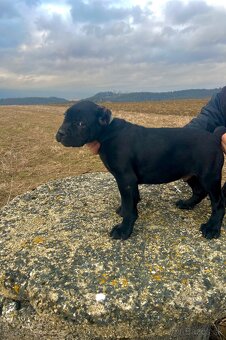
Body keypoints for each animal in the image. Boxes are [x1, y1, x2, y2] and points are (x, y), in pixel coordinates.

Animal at [55, 99, 225, 240]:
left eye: (80, 123)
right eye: (65, 118)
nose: (60, 133)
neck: (107, 132)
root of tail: (214, 137)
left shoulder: (125, 178)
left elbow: (130, 206)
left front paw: (124, 229)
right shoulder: (127, 181)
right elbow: (130, 199)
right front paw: (123, 210)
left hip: (210, 177)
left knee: (218, 204)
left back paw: (212, 228)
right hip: (190, 174)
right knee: (199, 191)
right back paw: (187, 204)